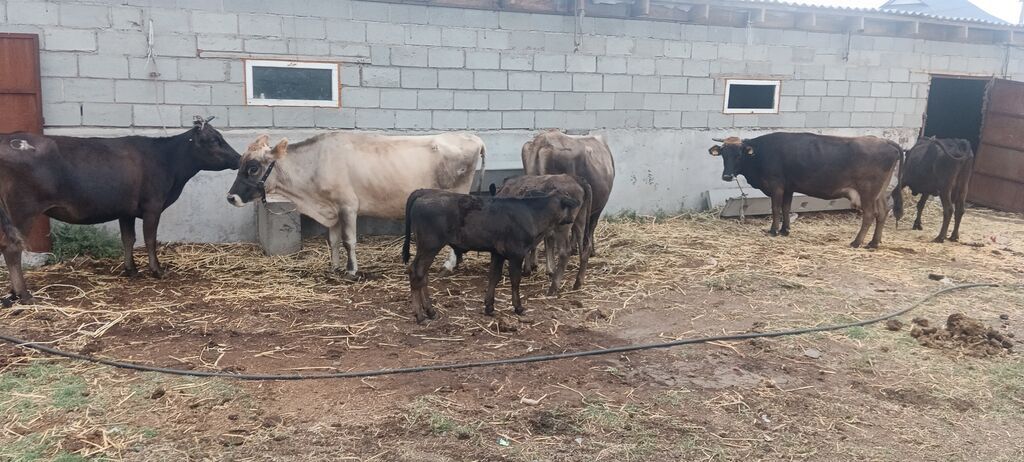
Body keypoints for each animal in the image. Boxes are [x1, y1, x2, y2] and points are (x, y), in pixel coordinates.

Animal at [0, 117, 241, 305]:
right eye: (214, 140)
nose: (239, 158)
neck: (168, 160)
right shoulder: (153, 207)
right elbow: (149, 240)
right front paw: (157, 270)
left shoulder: (126, 211)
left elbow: (128, 239)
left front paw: (131, 269)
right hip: (23, 210)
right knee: (12, 249)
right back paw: (24, 294)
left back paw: (14, 293)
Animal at [226, 132, 486, 278]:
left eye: (253, 168)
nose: (231, 198)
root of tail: (471, 137)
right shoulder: (330, 209)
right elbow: (332, 241)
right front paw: (334, 267)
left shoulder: (348, 206)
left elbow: (348, 241)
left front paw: (351, 270)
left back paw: (449, 265)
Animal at [402, 189, 581, 323]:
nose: (572, 219)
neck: (532, 213)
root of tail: (424, 193)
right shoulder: (516, 253)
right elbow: (515, 281)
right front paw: (518, 307)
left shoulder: (497, 253)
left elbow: (494, 277)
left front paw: (489, 307)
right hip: (430, 245)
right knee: (416, 272)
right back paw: (420, 315)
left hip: (425, 248)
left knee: (422, 275)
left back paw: (430, 311)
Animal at [708, 133, 902, 248]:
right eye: (724, 155)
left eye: (738, 155)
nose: (727, 176)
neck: (760, 154)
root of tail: (885, 141)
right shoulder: (788, 188)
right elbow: (786, 208)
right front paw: (785, 230)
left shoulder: (776, 186)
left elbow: (776, 209)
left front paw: (773, 231)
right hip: (879, 193)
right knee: (883, 212)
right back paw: (873, 243)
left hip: (867, 191)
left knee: (869, 215)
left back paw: (856, 242)